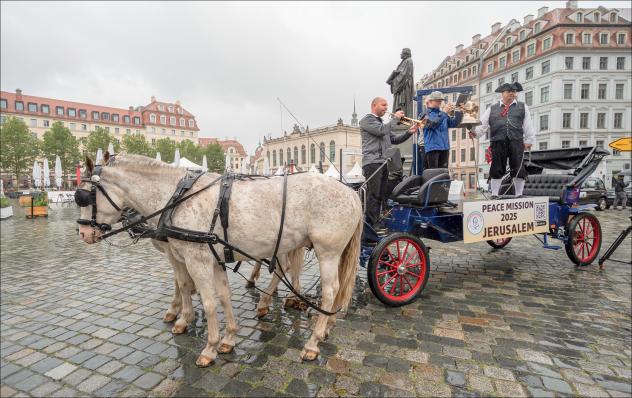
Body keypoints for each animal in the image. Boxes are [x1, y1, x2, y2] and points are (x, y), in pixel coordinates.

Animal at [77, 154, 362, 366]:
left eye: (83, 196)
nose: (83, 234)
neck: (176, 197)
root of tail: (351, 193)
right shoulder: (213, 259)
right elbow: (222, 296)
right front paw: (228, 339)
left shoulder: (195, 260)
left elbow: (207, 300)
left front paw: (209, 346)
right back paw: (323, 324)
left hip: (326, 251)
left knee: (329, 291)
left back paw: (313, 342)